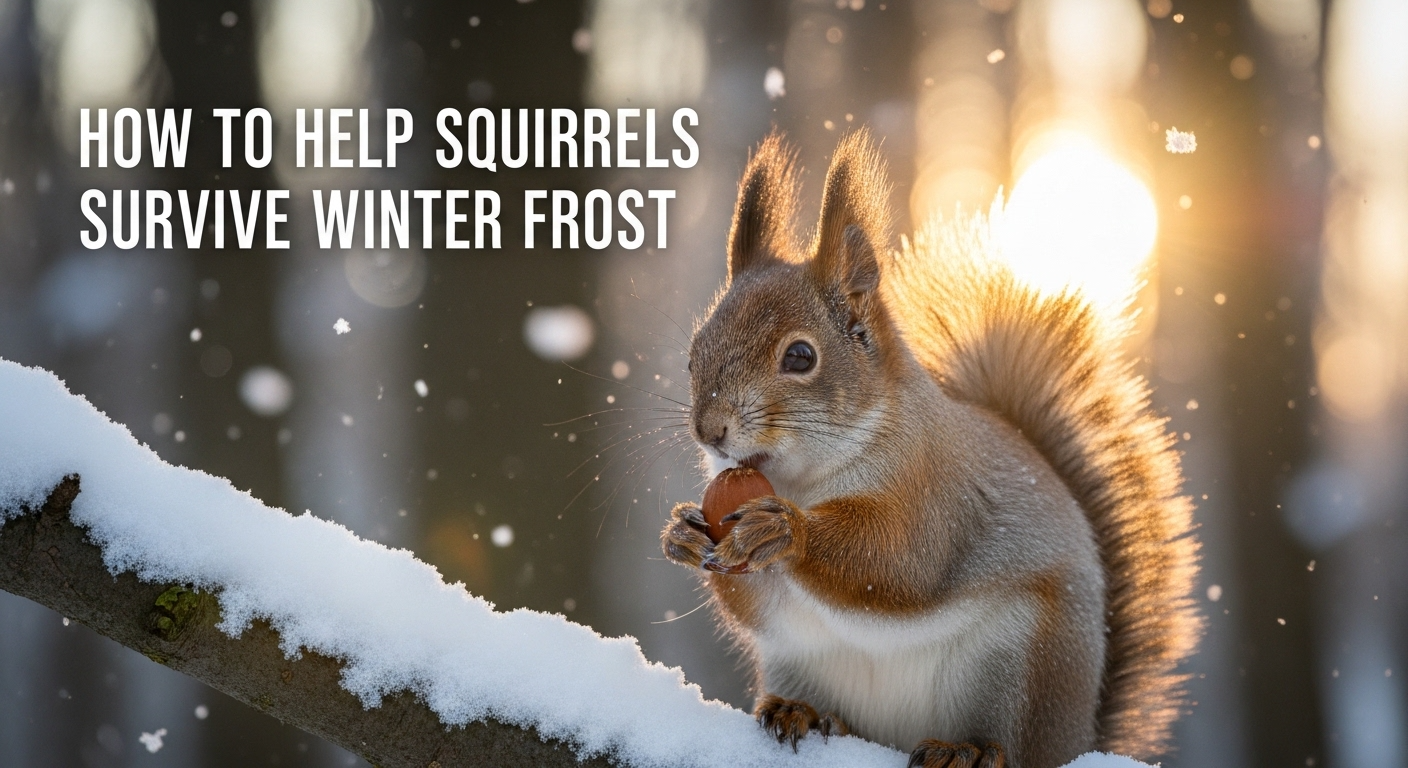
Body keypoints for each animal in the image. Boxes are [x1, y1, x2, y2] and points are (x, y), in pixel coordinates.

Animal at [660, 130, 1200, 768]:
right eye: (694, 352)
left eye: (800, 356)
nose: (709, 430)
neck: (806, 480)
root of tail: (1078, 736)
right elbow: (753, 602)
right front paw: (684, 533)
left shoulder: (937, 493)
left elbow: (899, 564)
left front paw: (785, 530)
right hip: (799, 662)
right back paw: (802, 711)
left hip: (1023, 667)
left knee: (1010, 743)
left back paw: (966, 748)